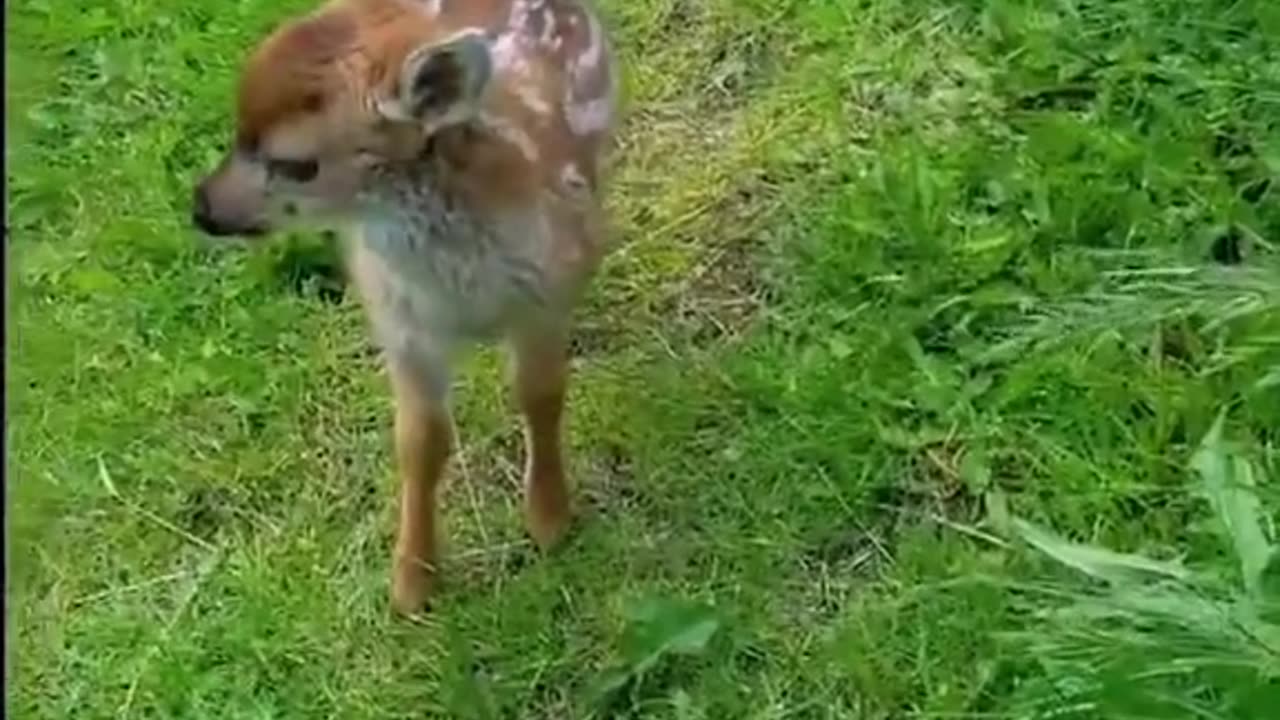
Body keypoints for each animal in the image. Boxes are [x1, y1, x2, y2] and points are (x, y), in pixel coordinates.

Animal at [190, 0, 624, 609]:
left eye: (297, 163)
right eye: (236, 131)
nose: (202, 208)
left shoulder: (544, 294)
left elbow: (541, 397)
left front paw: (549, 520)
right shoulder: (401, 321)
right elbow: (420, 440)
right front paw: (412, 582)